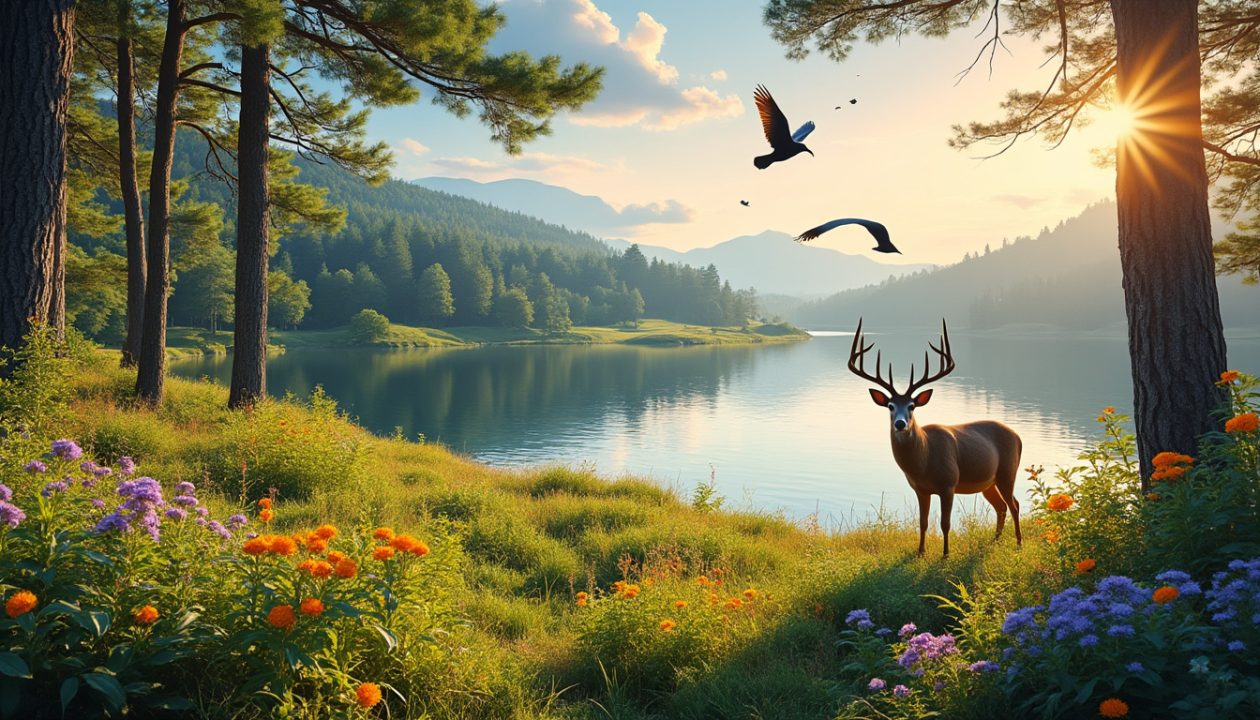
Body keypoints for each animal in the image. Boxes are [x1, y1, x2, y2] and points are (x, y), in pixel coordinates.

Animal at [847, 319, 1022, 558]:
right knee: (1001, 506)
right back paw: (994, 541)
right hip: (989, 481)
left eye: (911, 406)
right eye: (890, 406)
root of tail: (1018, 437)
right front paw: (920, 551)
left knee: (1014, 504)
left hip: (1007, 471)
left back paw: (1018, 543)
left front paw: (945, 554)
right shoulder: (920, 489)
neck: (924, 461)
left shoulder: (948, 483)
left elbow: (945, 523)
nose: (900, 424)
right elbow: (923, 522)